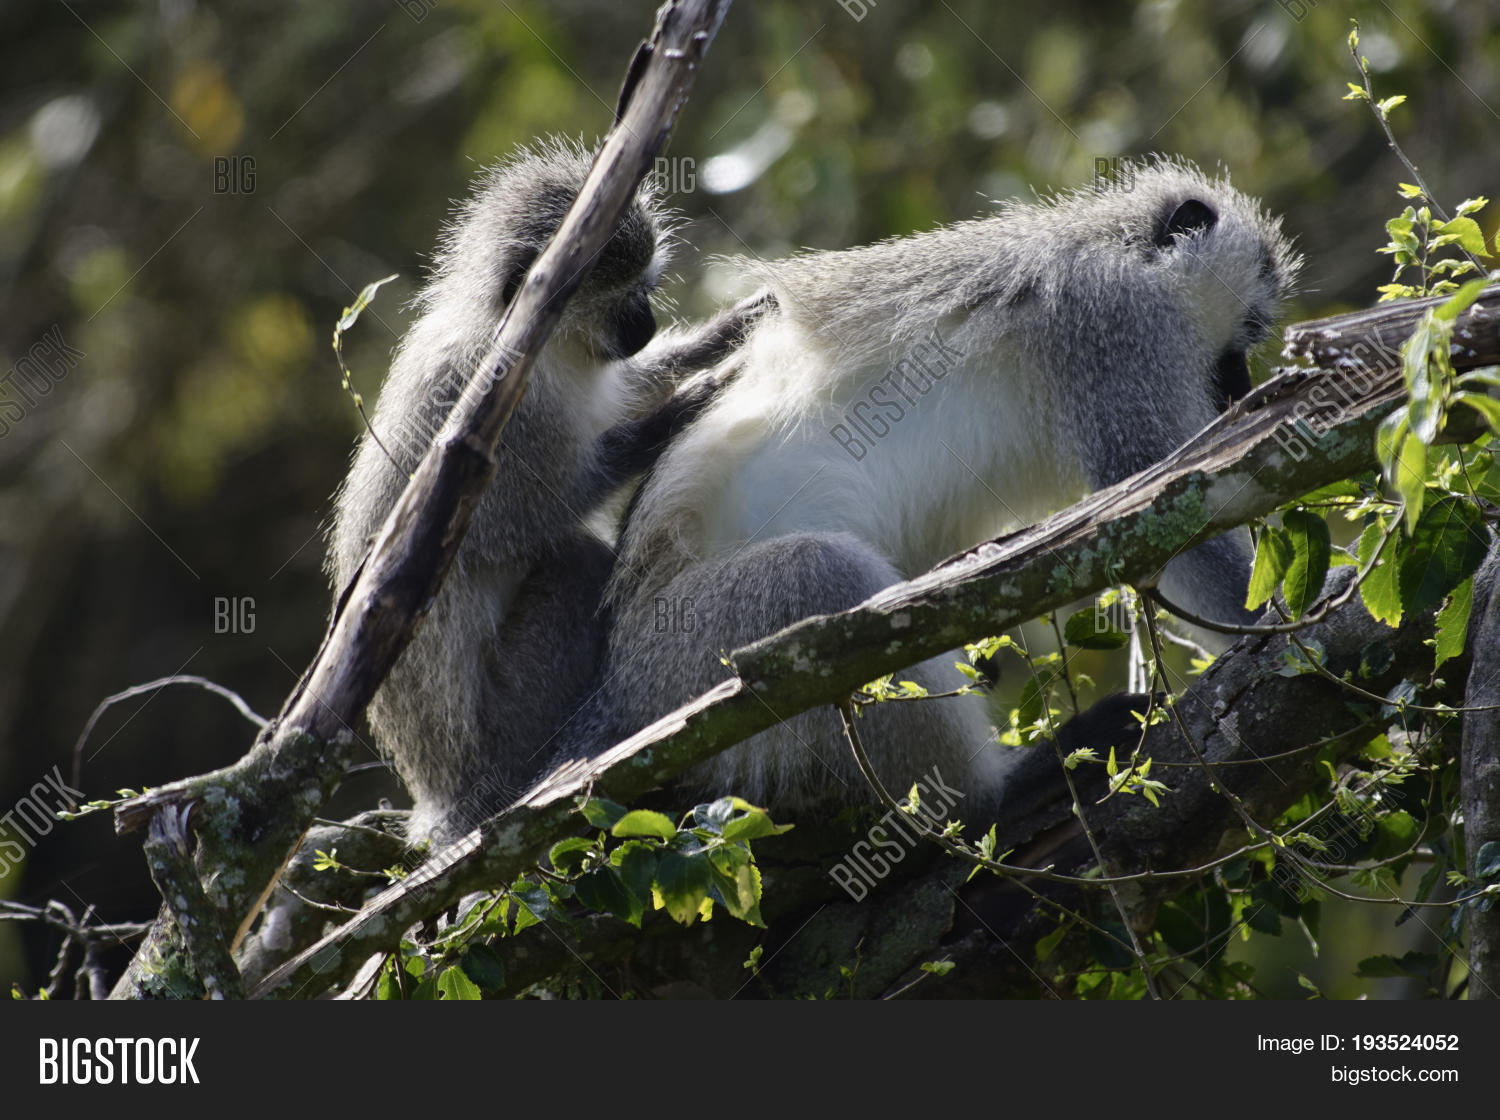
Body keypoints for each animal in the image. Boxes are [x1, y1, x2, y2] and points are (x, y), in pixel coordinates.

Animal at [326, 139, 769, 845]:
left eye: (646, 288)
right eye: (622, 296)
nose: (648, 325)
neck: (538, 343)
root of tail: (444, 796)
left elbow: (626, 387)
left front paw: (723, 332)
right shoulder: (497, 411)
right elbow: (532, 515)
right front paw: (693, 401)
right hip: (511, 722)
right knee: (574, 559)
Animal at [556, 157, 1300, 820]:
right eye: (1249, 331)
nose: (1239, 387)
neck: (1111, 245)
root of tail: (617, 687)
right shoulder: (1119, 324)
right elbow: (1159, 498)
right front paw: (1282, 619)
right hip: (683, 659)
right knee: (820, 577)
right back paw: (992, 792)